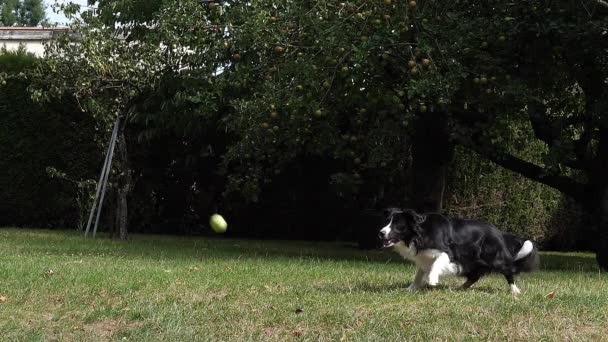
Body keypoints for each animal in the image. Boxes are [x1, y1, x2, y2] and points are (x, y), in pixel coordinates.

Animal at [378, 208, 540, 294]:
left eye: (397, 225)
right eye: (387, 222)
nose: (380, 233)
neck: (420, 233)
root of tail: (499, 233)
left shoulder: (448, 252)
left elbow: (437, 263)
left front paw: (432, 279)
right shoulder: (424, 257)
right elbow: (418, 274)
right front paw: (410, 289)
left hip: (494, 257)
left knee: (508, 271)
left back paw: (514, 290)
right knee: (474, 276)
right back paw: (460, 287)